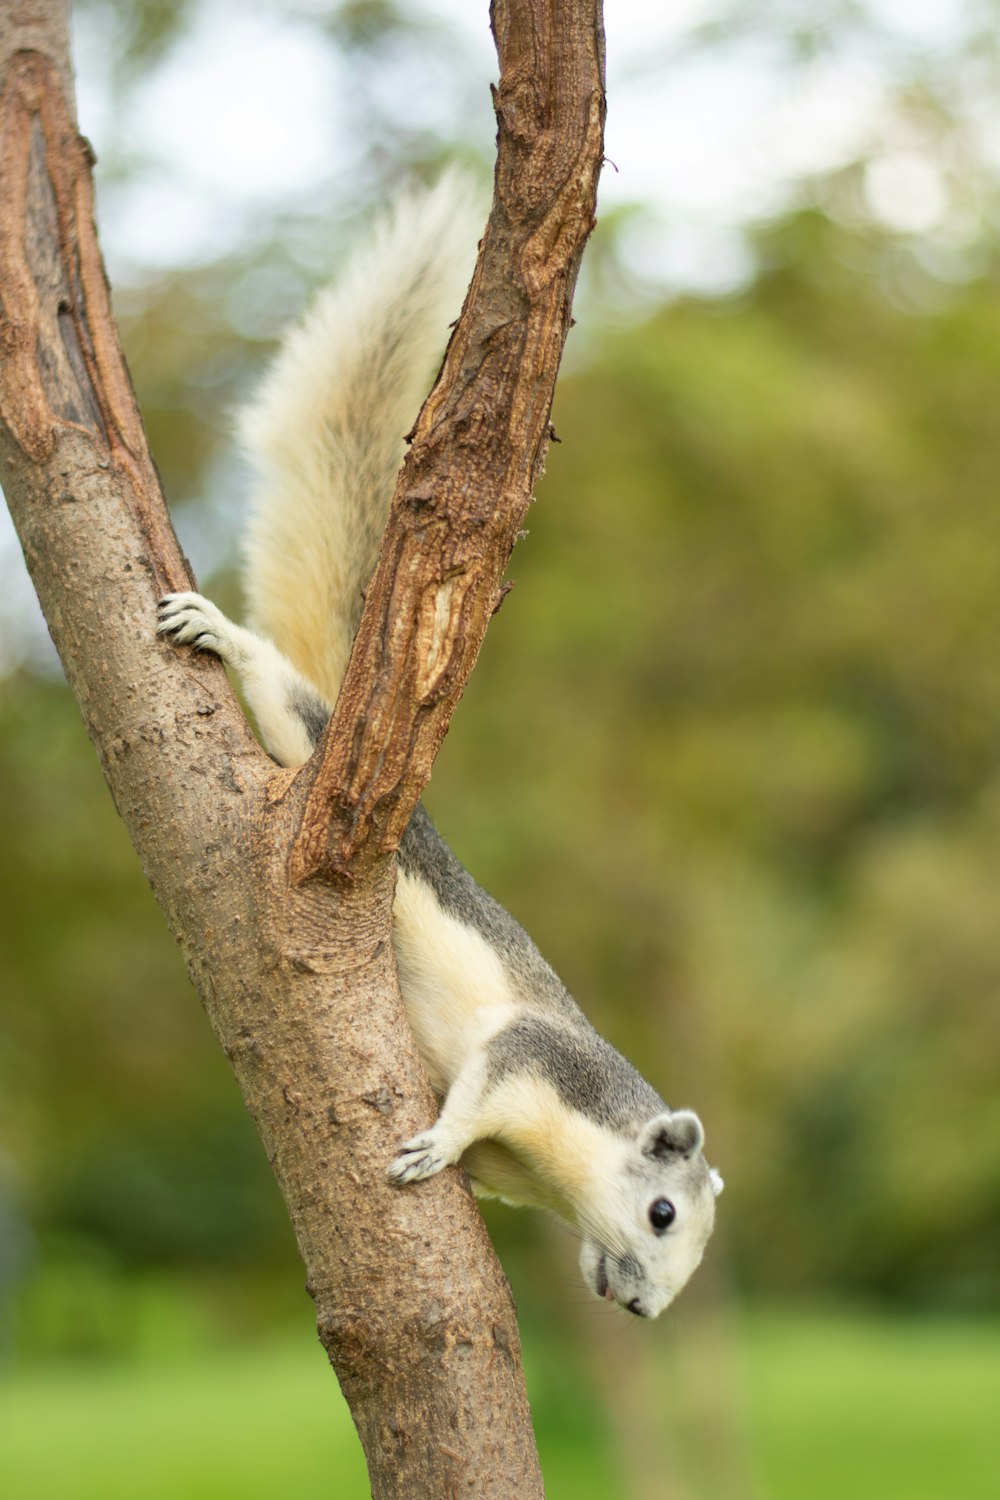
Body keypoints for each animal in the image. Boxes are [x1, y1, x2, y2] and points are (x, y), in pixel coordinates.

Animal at [156, 178, 722, 1326]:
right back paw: (220, 636)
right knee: (284, 695)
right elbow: (479, 1092)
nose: (640, 1309)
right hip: (307, 740)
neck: (554, 1166)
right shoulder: (533, 1060)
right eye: (661, 1214)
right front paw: (437, 1145)